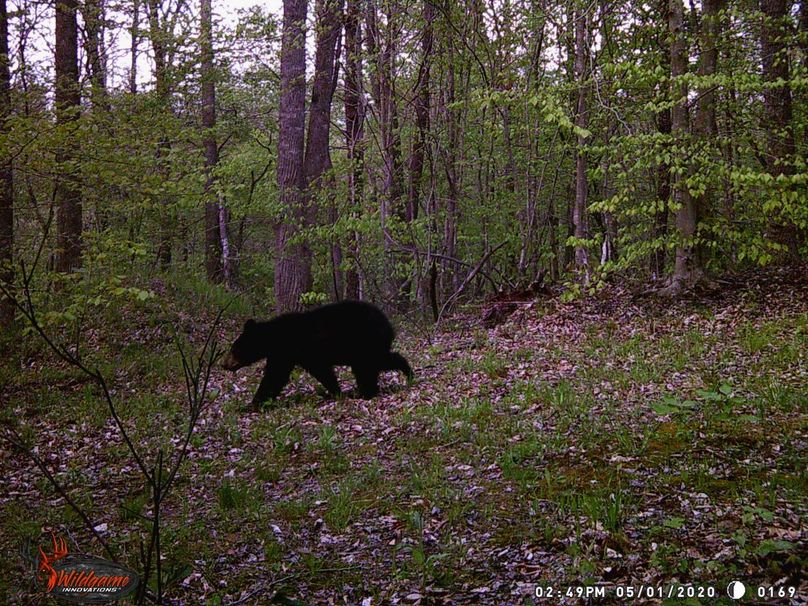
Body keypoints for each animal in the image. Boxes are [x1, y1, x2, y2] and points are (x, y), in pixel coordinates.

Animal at [222, 300, 413, 408]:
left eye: (234, 349)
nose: (224, 364)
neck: (276, 337)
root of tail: (388, 324)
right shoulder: (290, 354)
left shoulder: (292, 350)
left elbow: (276, 376)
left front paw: (252, 404)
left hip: (366, 342)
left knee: (369, 365)